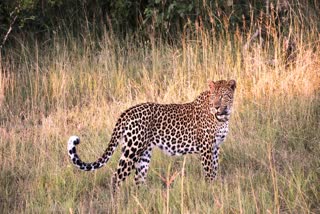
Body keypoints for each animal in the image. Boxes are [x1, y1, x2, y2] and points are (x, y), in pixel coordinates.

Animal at [67, 79, 236, 190]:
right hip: (132, 150)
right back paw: (117, 202)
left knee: (138, 179)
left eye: (223, 96)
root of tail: (126, 112)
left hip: (143, 154)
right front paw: (210, 188)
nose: (216, 106)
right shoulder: (206, 147)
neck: (223, 117)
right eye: (213, 96)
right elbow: (209, 171)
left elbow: (215, 169)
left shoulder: (215, 147)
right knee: (116, 177)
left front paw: (215, 186)